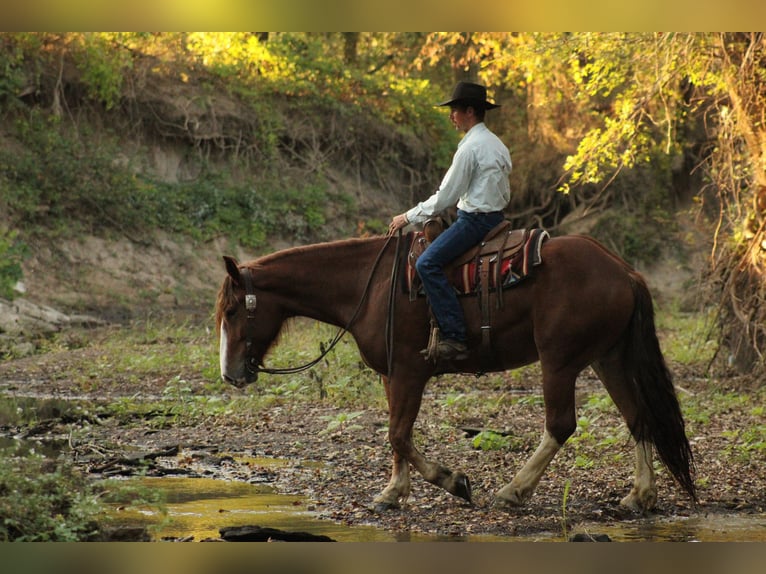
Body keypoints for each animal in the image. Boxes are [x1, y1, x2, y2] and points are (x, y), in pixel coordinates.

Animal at [215, 232, 696, 513]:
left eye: (234, 309)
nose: (230, 374)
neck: (370, 285)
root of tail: (623, 271)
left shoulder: (409, 372)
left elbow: (397, 434)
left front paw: (453, 482)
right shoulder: (392, 375)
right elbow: (398, 434)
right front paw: (393, 492)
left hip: (559, 361)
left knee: (560, 425)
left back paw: (513, 490)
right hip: (608, 358)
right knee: (638, 418)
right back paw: (639, 496)